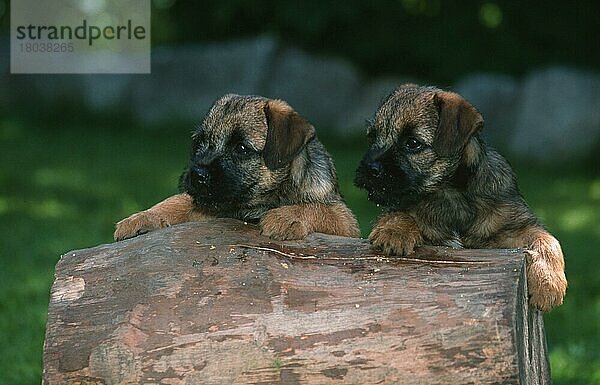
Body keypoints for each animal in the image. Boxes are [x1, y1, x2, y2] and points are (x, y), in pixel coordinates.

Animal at [116, 94, 360, 240]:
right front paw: (141, 217)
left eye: (241, 148)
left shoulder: (345, 221)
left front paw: (284, 217)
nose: (197, 174)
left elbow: (317, 208)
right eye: (199, 143)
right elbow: (177, 201)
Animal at [356, 85, 568, 312]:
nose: (369, 169)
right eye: (372, 137)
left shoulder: (515, 227)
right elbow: (400, 214)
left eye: (412, 143)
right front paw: (394, 231)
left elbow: (547, 239)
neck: (451, 193)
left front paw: (549, 283)